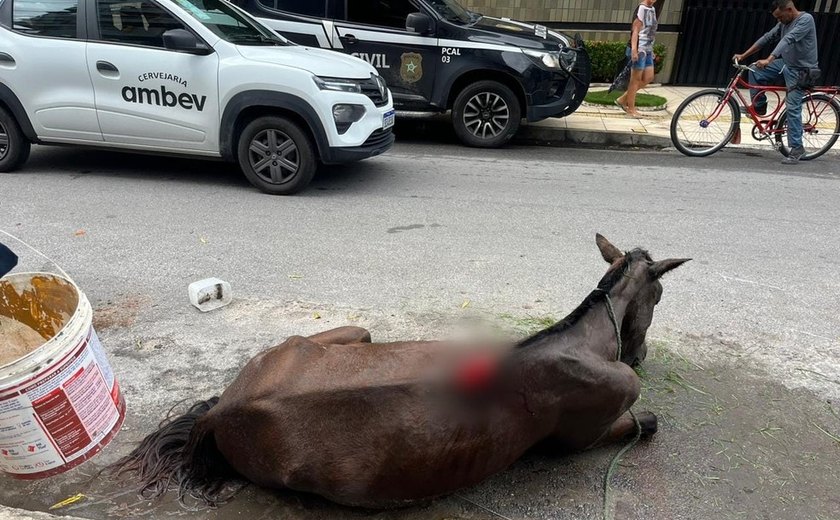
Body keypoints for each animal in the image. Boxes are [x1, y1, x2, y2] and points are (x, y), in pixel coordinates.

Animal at [113, 236, 688, 508]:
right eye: (661, 294)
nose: (639, 358)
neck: (578, 337)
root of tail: (222, 411)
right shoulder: (585, 432)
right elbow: (647, 422)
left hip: (323, 342)